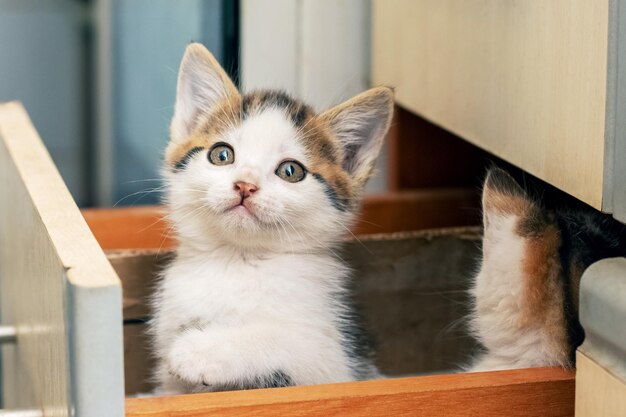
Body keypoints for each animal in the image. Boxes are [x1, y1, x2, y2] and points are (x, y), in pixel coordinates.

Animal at [149, 43, 390, 394]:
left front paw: (198, 350)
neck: (238, 261)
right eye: (222, 154)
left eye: (291, 171)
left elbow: (282, 338)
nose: (245, 185)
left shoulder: (337, 362)